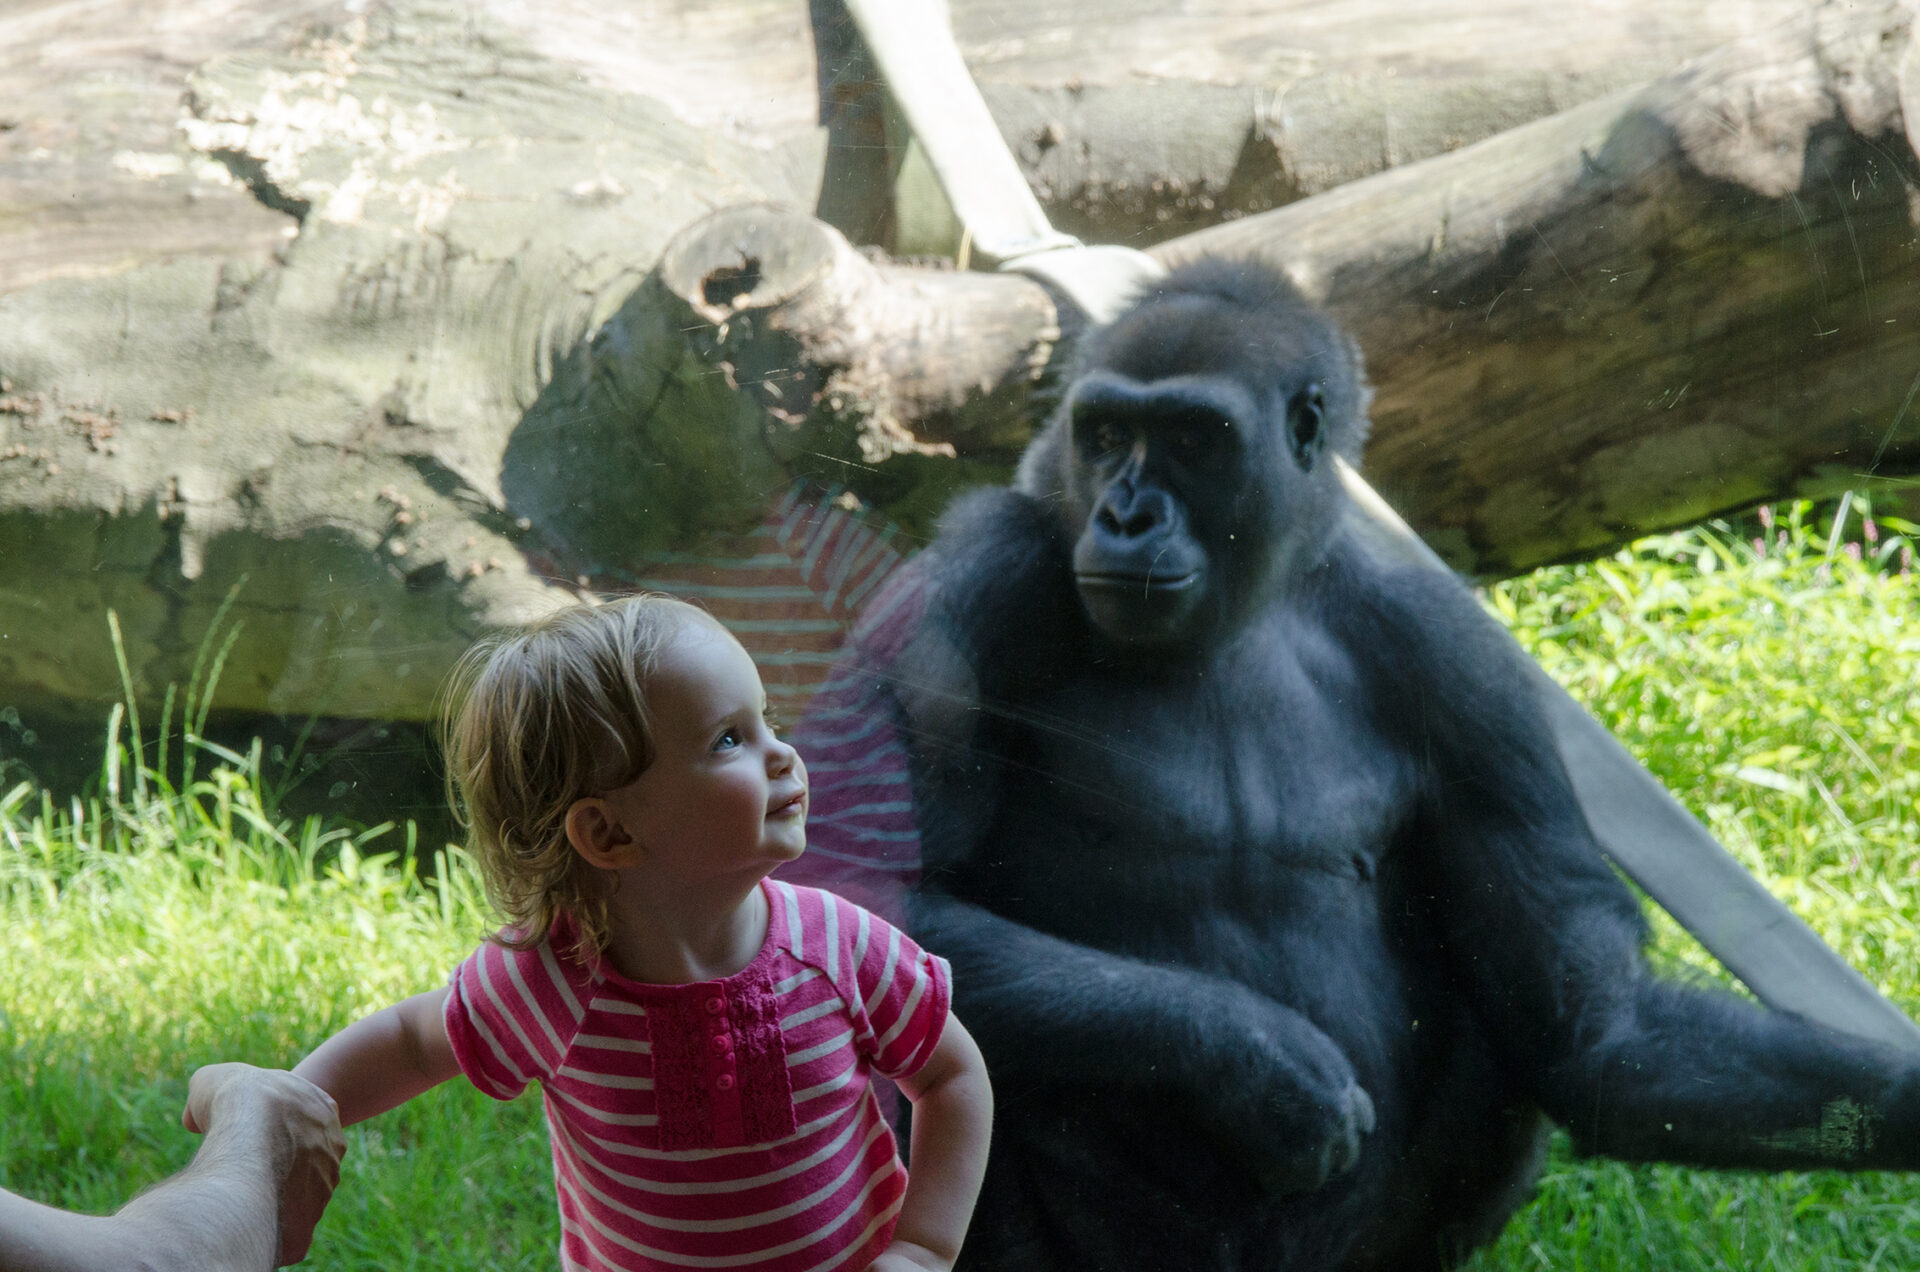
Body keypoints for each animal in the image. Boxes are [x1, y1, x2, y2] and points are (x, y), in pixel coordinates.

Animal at [844, 261, 1920, 1272]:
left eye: (1193, 438)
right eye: (1105, 434)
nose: (1124, 517)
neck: (1254, 606)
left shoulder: (1461, 665)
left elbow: (1594, 1033)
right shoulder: (977, 584)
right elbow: (880, 897)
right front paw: (1250, 1057)